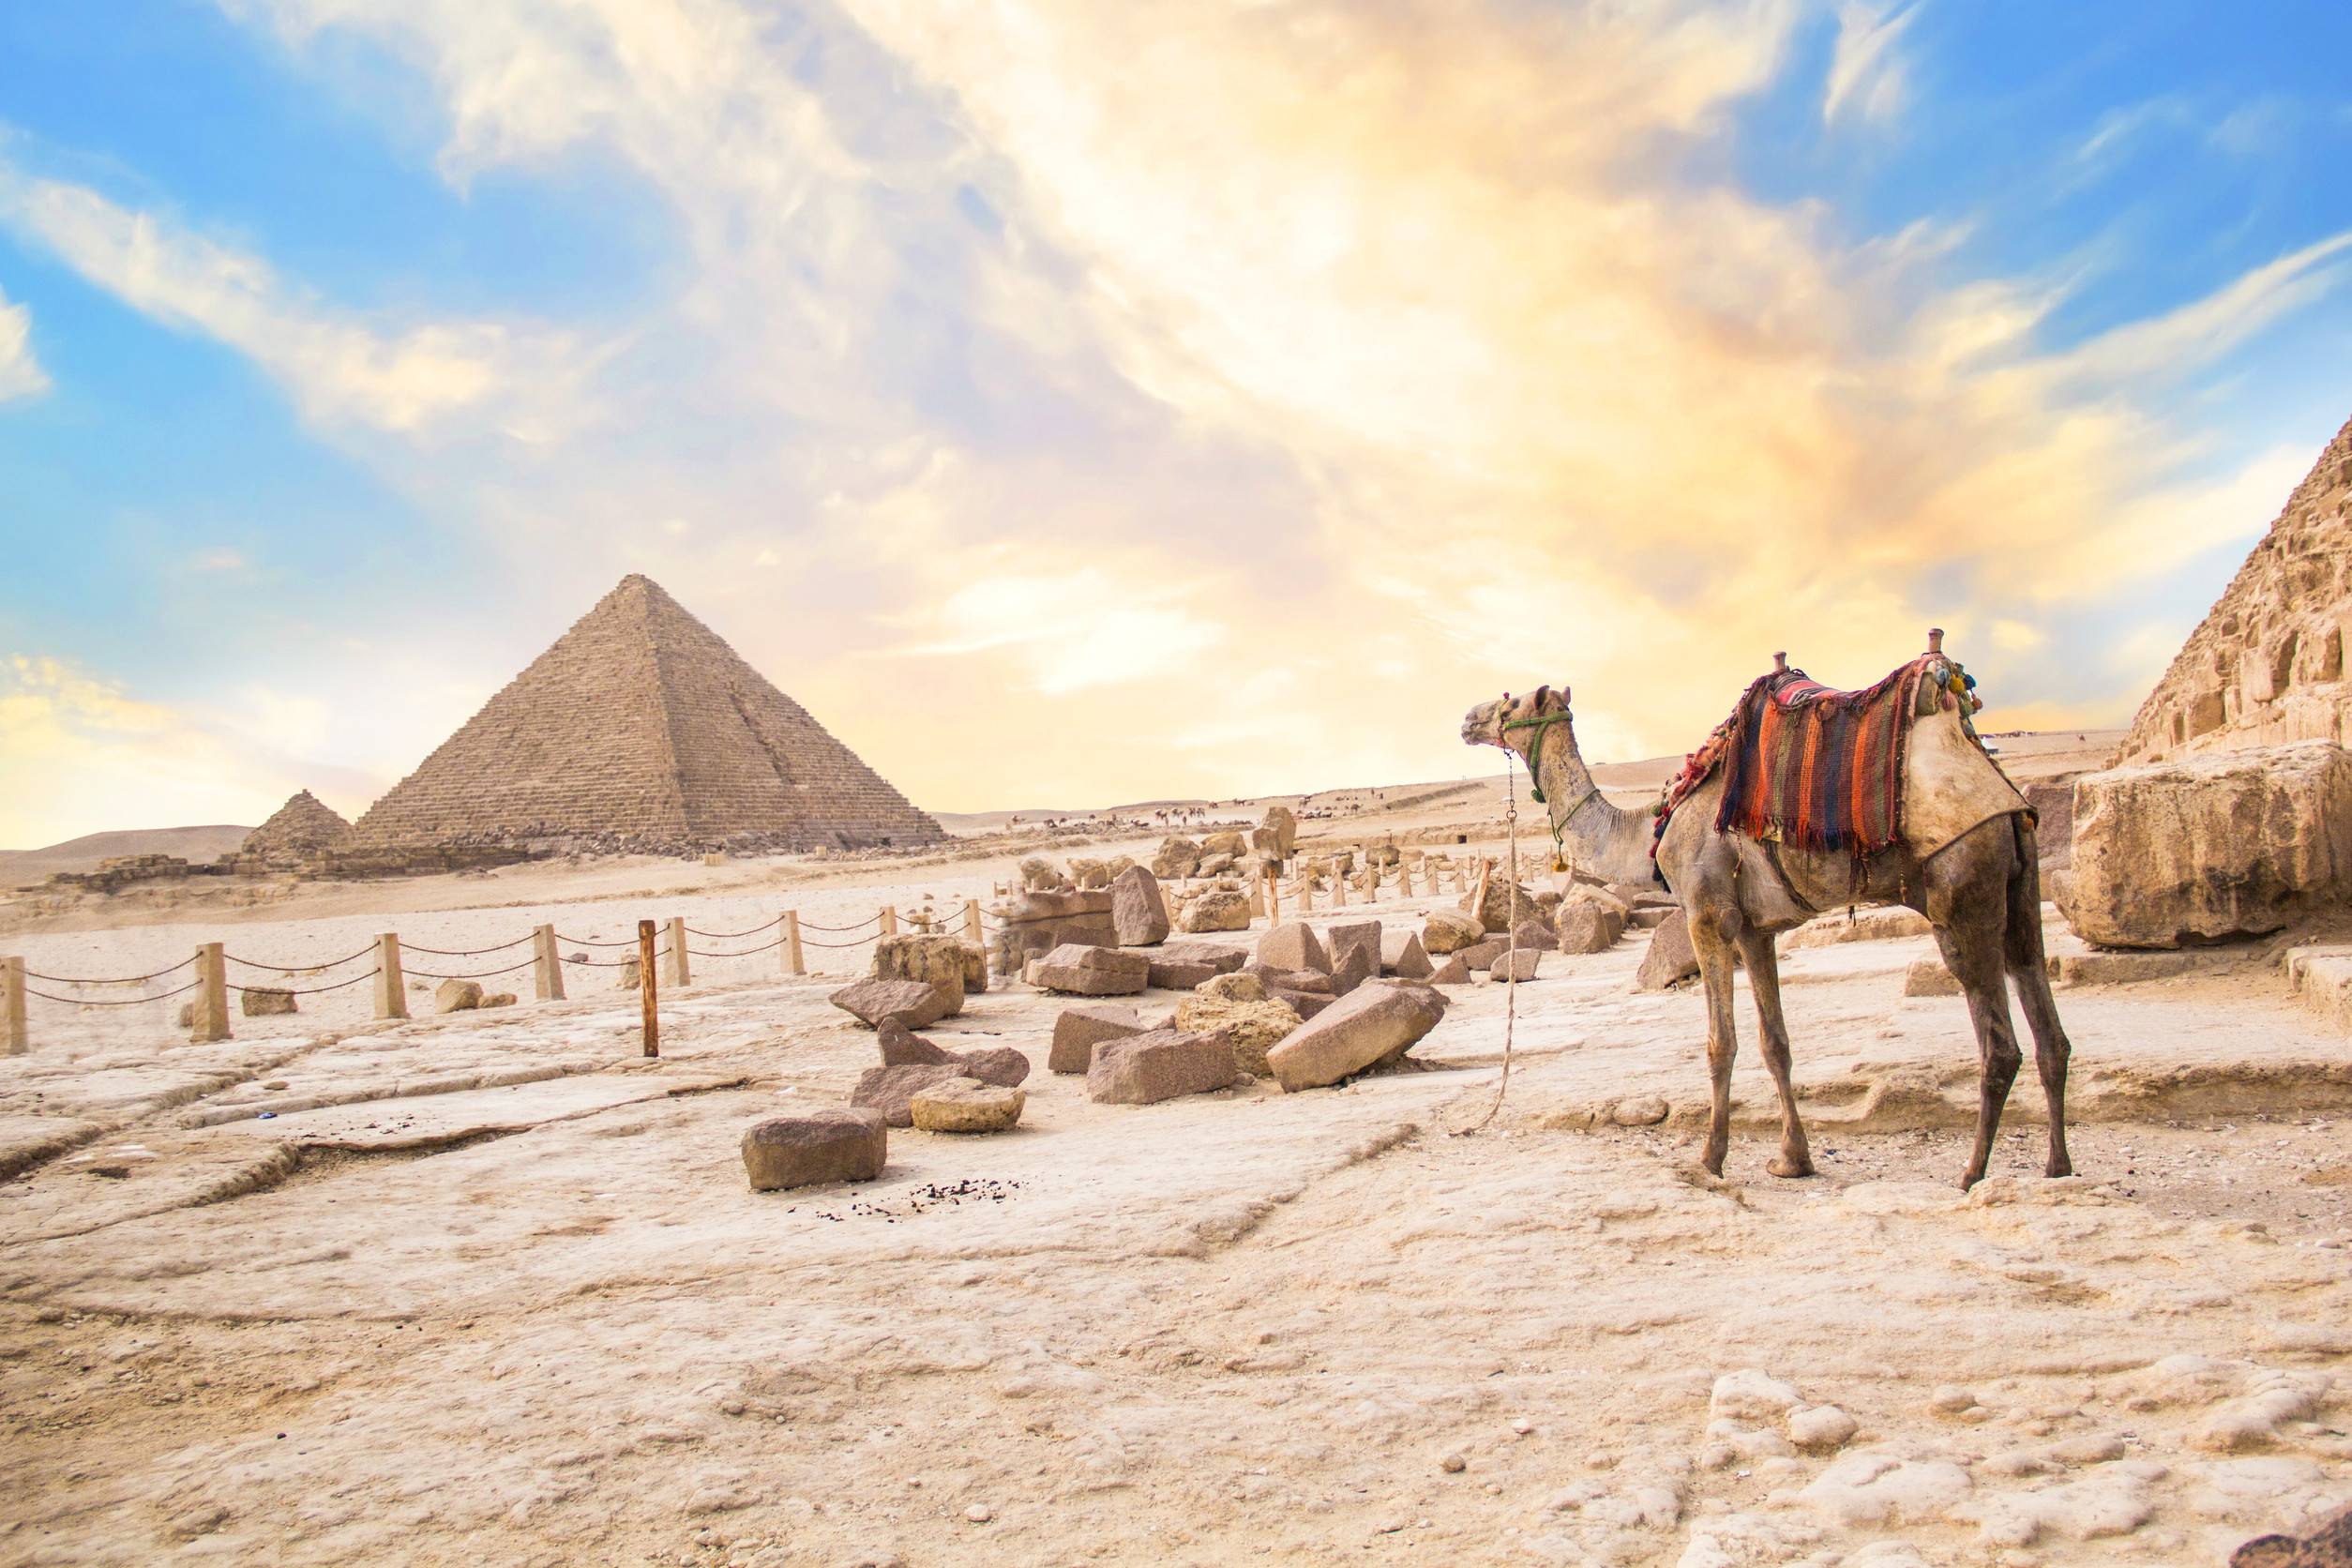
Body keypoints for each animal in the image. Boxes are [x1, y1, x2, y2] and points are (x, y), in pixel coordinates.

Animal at [1462, 638, 2073, 1189]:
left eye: (1511, 704)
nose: (1468, 718)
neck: (1649, 830)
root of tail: (2001, 794)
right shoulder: (1757, 931)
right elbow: (1775, 1043)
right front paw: (1792, 1160)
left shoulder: (1708, 914)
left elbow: (1721, 1043)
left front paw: (1710, 1160)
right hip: (2019, 886)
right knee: (2048, 1024)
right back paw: (2057, 1166)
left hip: (1961, 886)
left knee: (1999, 1044)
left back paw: (1972, 1174)